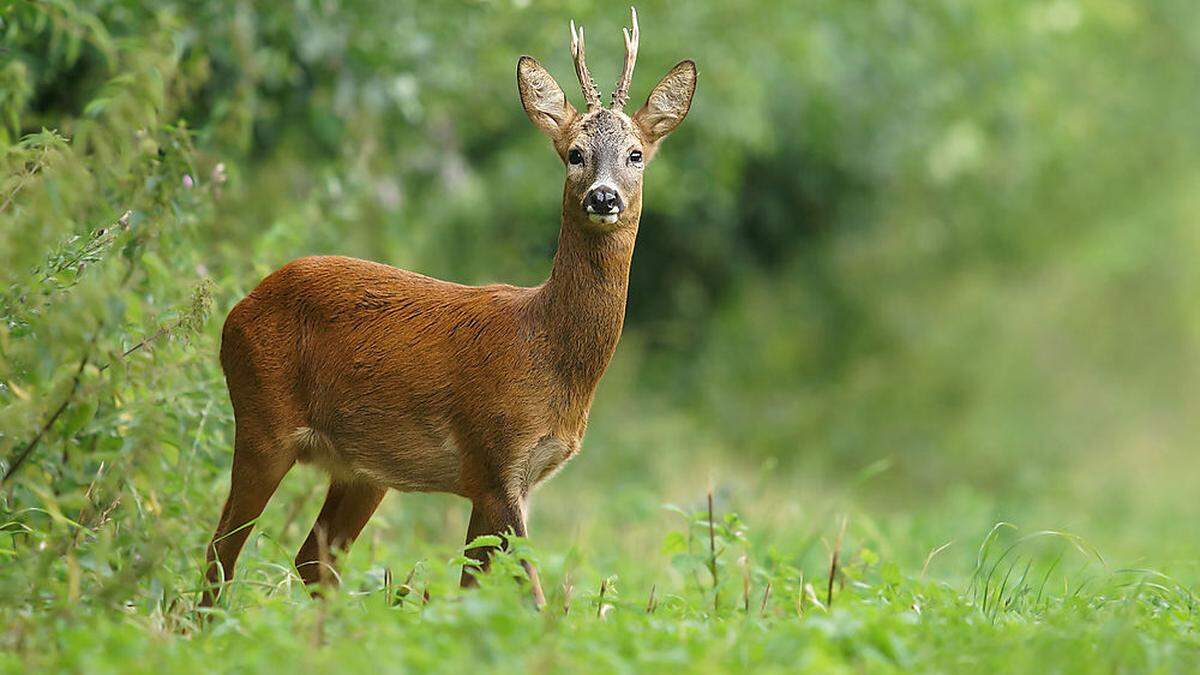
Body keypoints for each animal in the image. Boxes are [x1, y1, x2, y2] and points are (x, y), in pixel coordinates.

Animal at [202, 6, 700, 605]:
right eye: (574, 153)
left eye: (636, 155)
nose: (603, 197)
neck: (549, 352)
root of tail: (239, 308)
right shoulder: (492, 455)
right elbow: (527, 591)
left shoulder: (511, 479)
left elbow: (475, 588)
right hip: (262, 419)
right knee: (220, 554)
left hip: (362, 469)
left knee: (310, 559)